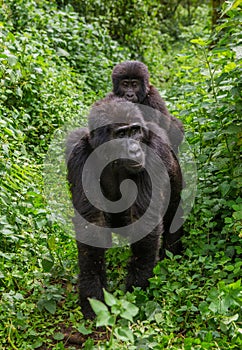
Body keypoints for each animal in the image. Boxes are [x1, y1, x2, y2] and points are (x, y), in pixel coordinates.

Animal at [65, 99, 182, 320]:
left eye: (135, 131)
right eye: (121, 134)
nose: (135, 149)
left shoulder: (154, 150)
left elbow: (144, 219)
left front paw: (137, 288)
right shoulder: (78, 154)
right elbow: (92, 222)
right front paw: (92, 291)